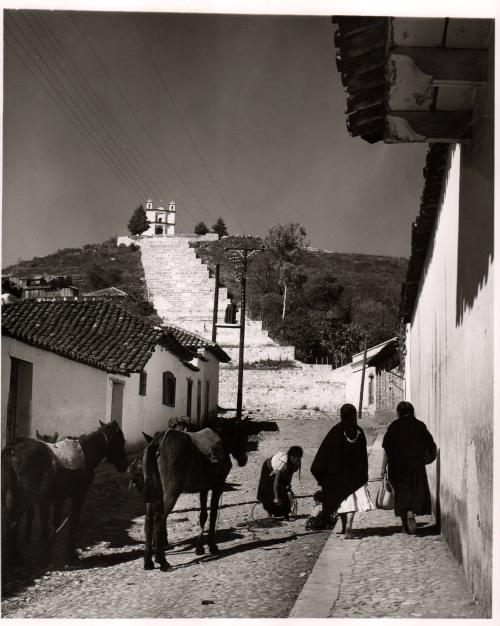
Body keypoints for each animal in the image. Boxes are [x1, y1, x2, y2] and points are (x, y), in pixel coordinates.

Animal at [2, 420, 127, 560]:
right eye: (121, 441)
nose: (125, 465)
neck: (85, 454)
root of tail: (13, 449)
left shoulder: (58, 497)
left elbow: (53, 520)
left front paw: (48, 546)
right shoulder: (78, 495)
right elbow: (72, 521)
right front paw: (69, 552)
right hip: (24, 498)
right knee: (12, 522)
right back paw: (15, 557)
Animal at [141, 416, 248, 568]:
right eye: (244, 435)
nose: (244, 459)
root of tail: (158, 440)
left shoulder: (203, 488)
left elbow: (203, 515)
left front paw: (199, 548)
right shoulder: (218, 486)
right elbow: (213, 513)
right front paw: (211, 545)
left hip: (154, 493)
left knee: (149, 520)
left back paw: (148, 561)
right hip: (171, 492)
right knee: (159, 519)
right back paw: (161, 560)